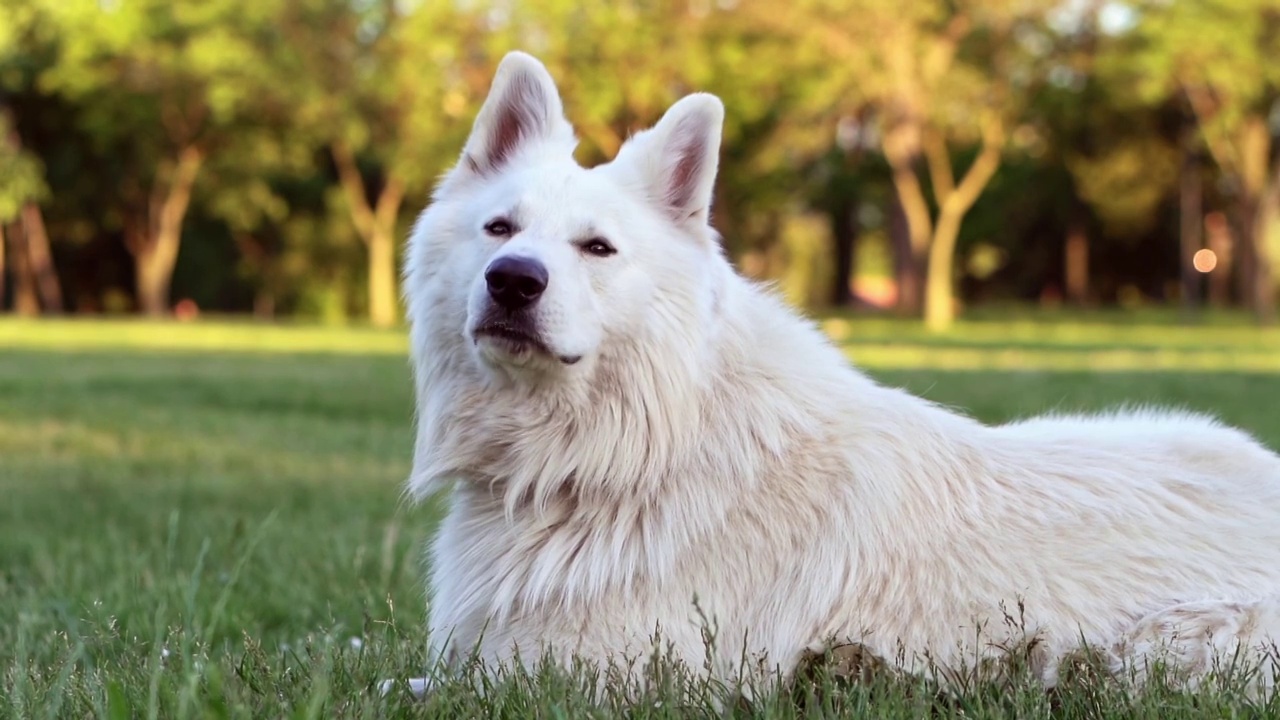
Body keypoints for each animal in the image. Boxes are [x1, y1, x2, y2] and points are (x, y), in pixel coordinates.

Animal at [394, 49, 1280, 696]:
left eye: (597, 247)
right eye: (499, 228)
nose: (512, 280)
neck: (633, 447)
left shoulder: (580, 674)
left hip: (1162, 650)